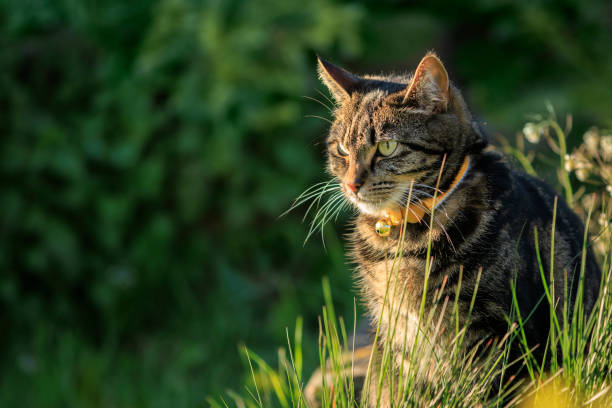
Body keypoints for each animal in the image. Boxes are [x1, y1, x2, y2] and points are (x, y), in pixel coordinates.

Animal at [310, 51, 604, 404]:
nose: (352, 185)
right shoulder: (397, 334)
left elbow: (476, 391)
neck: (404, 239)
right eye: (341, 149)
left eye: (387, 147)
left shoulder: (495, 333)